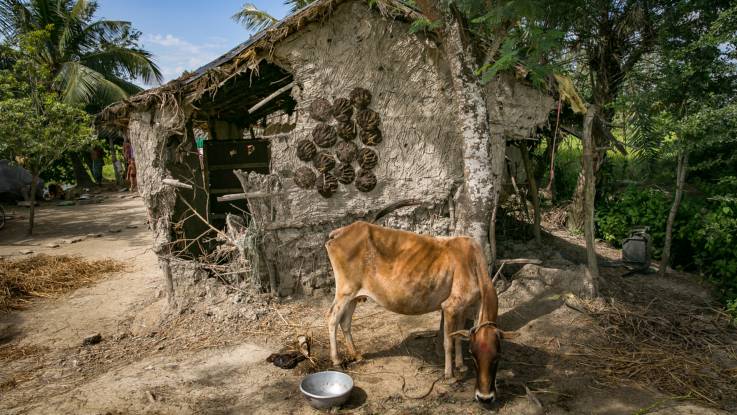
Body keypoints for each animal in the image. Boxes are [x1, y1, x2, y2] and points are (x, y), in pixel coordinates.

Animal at [324, 223, 516, 404]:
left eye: (497, 357)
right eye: (474, 357)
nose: (484, 397)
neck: (474, 264)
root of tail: (345, 230)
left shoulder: (465, 307)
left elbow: (459, 337)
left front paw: (461, 366)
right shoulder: (450, 306)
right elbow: (449, 342)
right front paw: (450, 376)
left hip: (354, 296)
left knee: (345, 322)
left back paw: (356, 355)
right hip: (345, 290)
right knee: (332, 317)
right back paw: (336, 359)